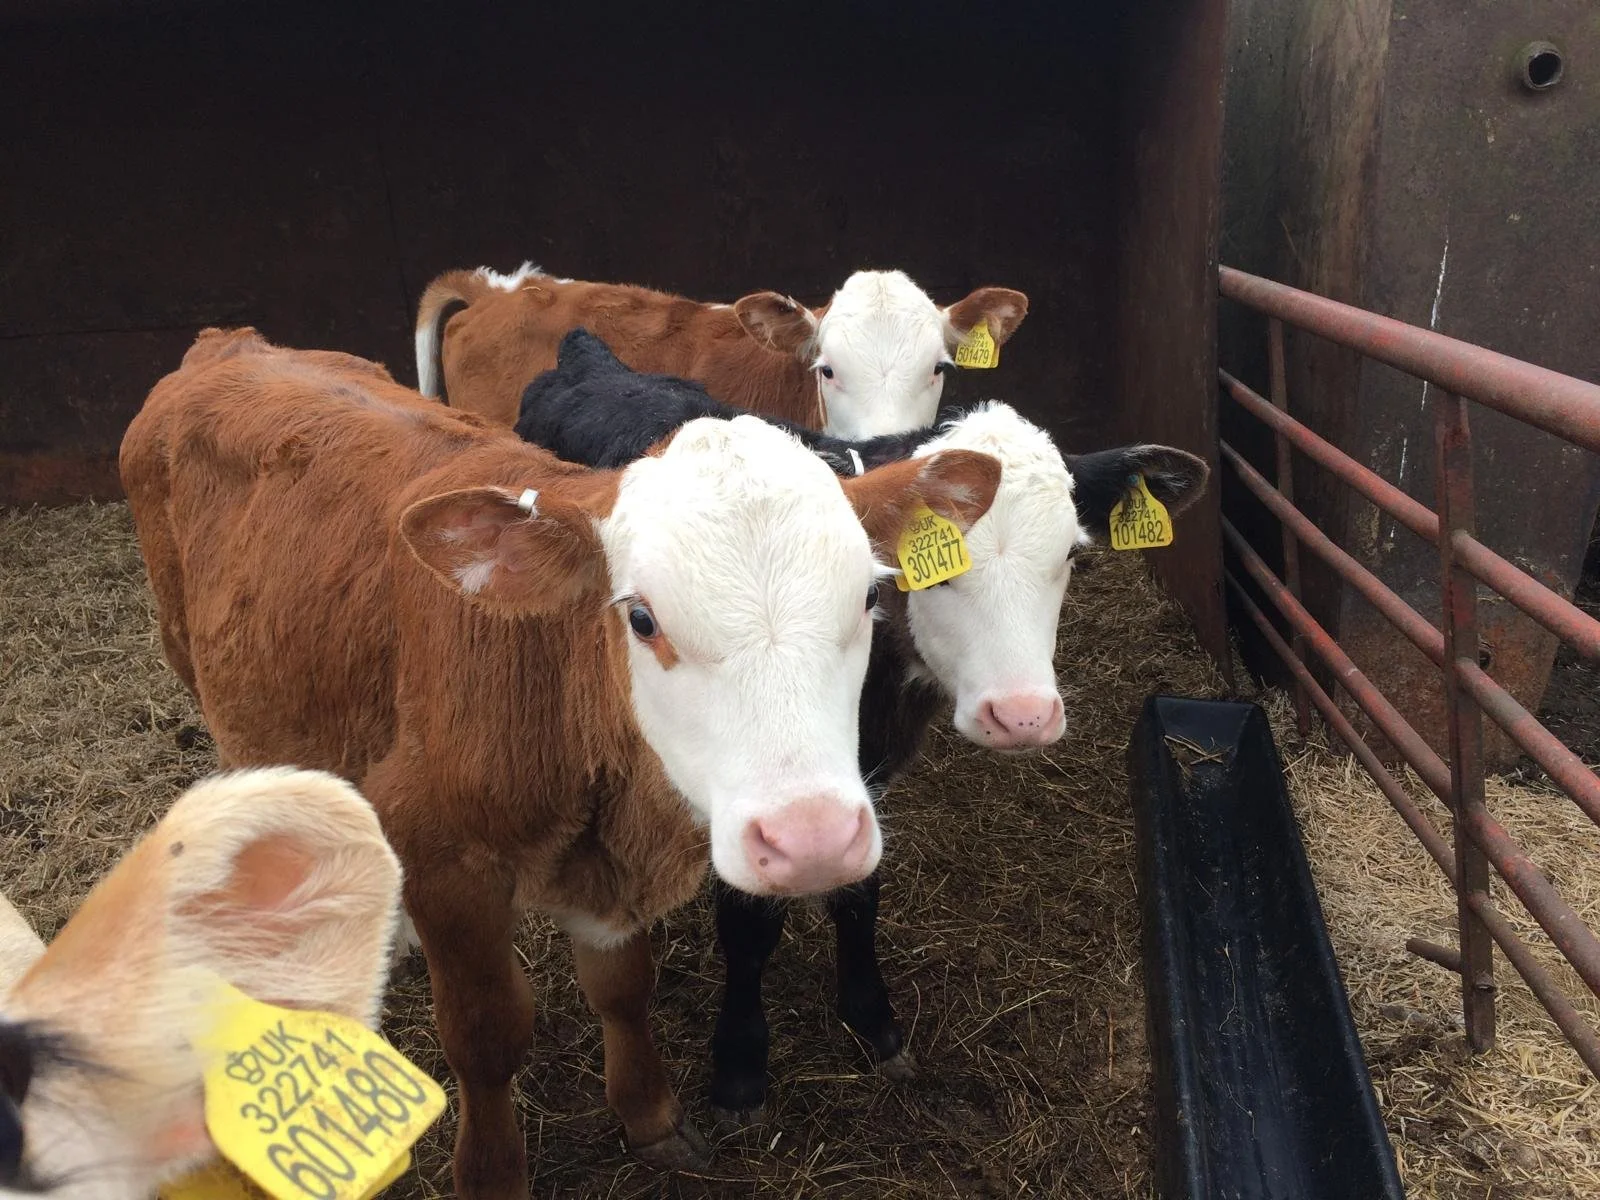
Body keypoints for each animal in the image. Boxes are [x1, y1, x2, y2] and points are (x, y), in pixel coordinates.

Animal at [120, 328, 1002, 1199]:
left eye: (870, 595)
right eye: (641, 617)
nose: (812, 839)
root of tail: (227, 344)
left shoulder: (612, 870)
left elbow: (624, 987)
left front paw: (649, 1114)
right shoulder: (447, 858)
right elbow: (486, 1033)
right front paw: (492, 1174)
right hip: (193, 663)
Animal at [515, 330, 1212, 1117]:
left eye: (1071, 552)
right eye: (937, 565)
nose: (1024, 715)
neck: (880, 694)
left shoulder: (863, 781)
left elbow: (860, 893)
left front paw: (872, 1019)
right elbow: (750, 925)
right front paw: (740, 1064)